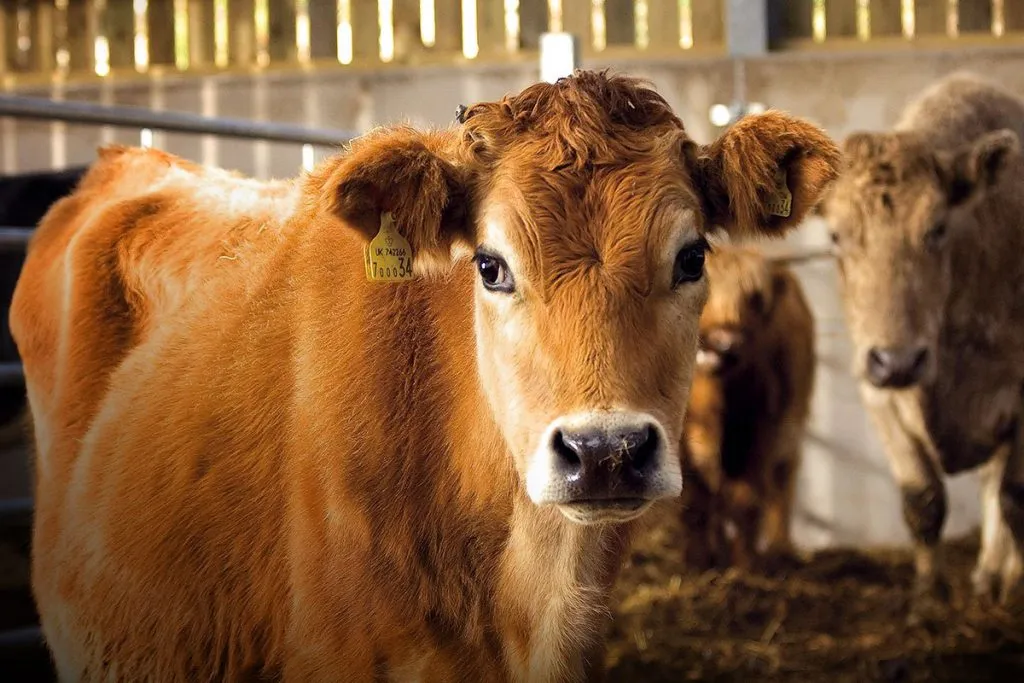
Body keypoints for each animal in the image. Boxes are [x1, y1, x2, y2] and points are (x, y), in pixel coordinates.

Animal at [678, 243, 815, 572]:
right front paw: (697, 564)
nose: (724, 342)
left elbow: (747, 500)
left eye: (755, 299)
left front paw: (745, 567)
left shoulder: (762, 429)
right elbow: (696, 501)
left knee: (781, 484)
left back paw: (779, 549)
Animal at [817, 71, 1024, 620]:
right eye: (836, 235)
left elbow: (1016, 498)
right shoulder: (878, 396)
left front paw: (1016, 589)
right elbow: (923, 500)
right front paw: (929, 601)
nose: (898, 360)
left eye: (937, 228)